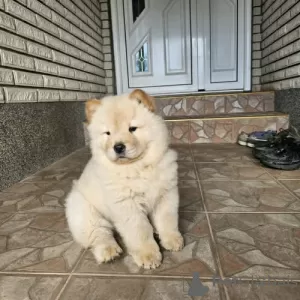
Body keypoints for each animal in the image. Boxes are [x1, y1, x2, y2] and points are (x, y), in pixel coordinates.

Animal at [65, 89, 183, 270]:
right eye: (107, 133)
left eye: (132, 128)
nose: (118, 147)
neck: (137, 167)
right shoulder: (127, 204)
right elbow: (140, 230)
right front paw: (148, 256)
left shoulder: (166, 194)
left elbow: (167, 219)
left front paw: (173, 240)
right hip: (85, 213)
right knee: (99, 233)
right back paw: (109, 252)